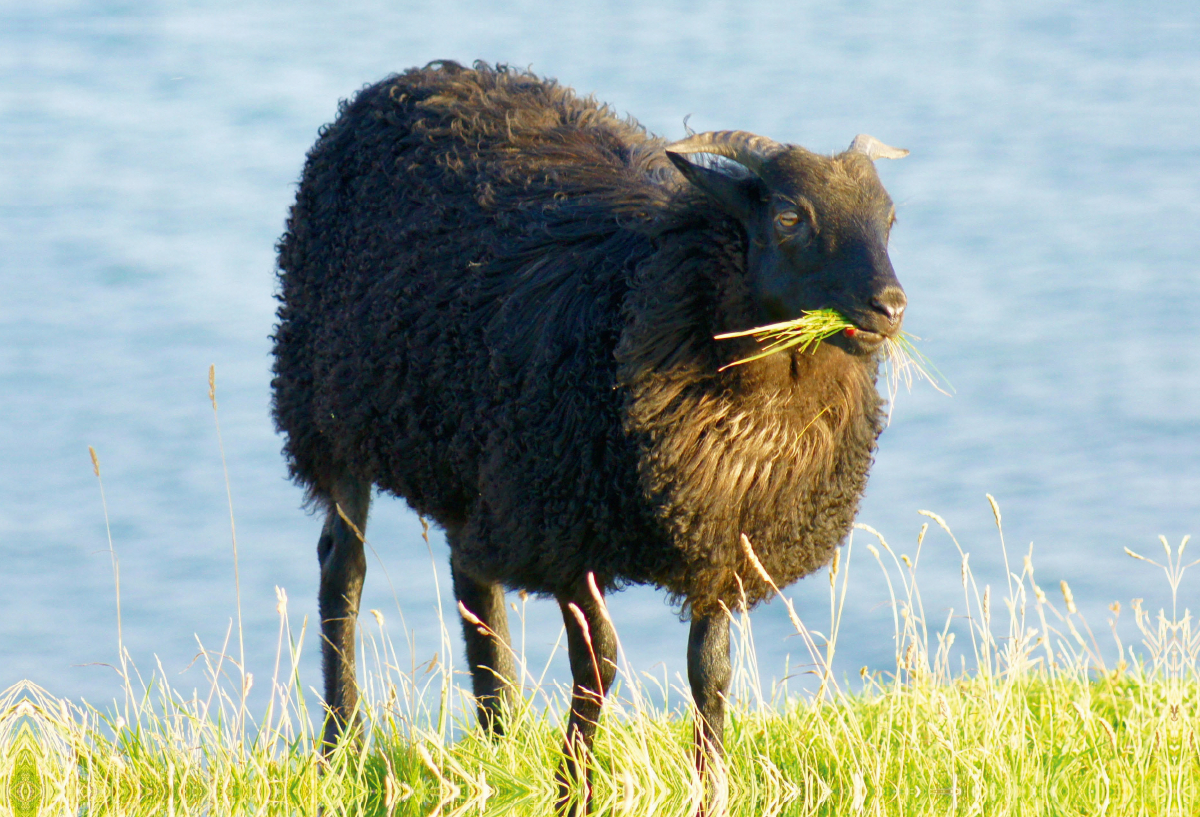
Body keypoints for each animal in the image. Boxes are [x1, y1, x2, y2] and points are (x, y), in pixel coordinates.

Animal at [272, 60, 907, 791]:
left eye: (889, 218)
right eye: (789, 216)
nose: (890, 306)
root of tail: (415, 78)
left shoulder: (721, 538)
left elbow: (710, 672)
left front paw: (709, 786)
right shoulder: (569, 530)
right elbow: (598, 663)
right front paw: (572, 784)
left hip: (479, 460)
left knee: (472, 577)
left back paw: (498, 733)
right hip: (332, 413)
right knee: (342, 568)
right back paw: (340, 742)